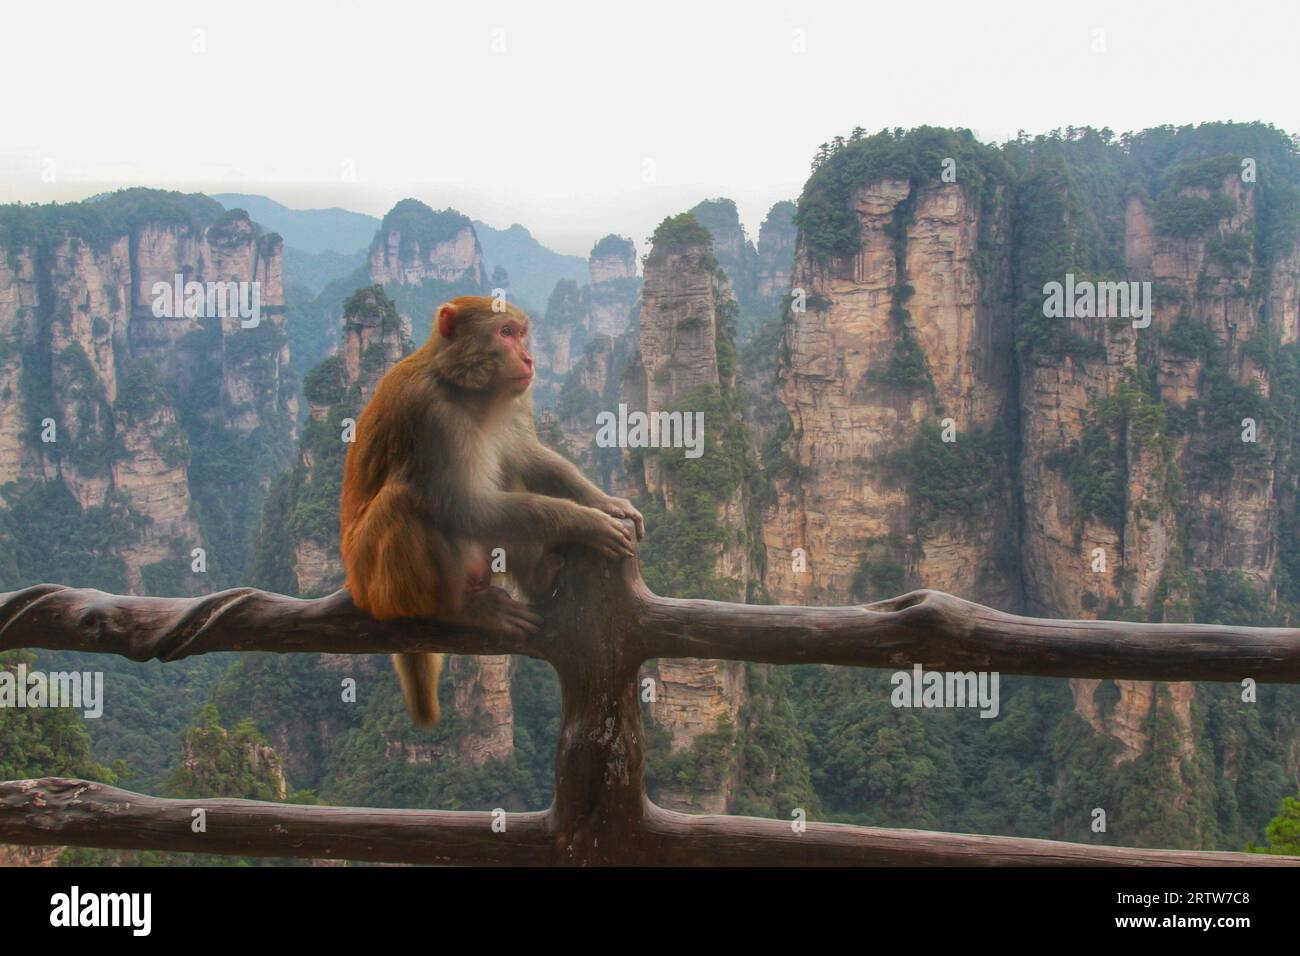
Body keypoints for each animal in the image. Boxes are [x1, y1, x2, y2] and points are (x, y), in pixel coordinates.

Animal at [340, 291, 644, 723]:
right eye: (505, 333)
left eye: (520, 333)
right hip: (375, 582)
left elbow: (527, 458)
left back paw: (538, 578)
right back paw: (456, 611)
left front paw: (605, 502)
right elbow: (466, 508)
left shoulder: (515, 399)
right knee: (407, 501)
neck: (467, 391)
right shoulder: (431, 415)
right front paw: (587, 522)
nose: (529, 358)